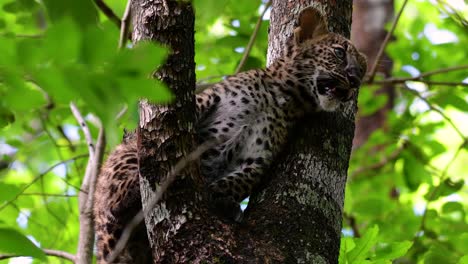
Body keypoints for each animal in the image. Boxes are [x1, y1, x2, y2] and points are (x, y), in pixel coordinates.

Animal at [93, 7, 368, 262]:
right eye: (339, 52)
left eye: (363, 72)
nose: (355, 80)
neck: (282, 98)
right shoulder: (204, 101)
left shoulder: (259, 156)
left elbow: (240, 180)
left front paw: (220, 197)